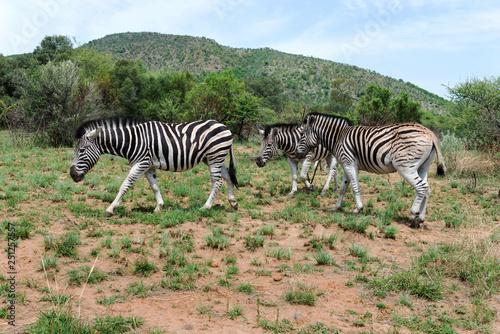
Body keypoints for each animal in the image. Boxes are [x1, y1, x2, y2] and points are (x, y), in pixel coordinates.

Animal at [70, 117, 238, 217]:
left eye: (82, 150)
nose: (72, 175)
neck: (133, 140)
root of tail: (223, 126)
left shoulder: (141, 163)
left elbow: (125, 185)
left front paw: (110, 208)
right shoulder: (148, 166)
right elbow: (155, 186)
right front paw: (159, 206)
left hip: (215, 156)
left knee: (217, 181)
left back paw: (206, 207)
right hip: (211, 158)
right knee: (228, 175)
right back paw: (233, 202)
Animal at [292, 113, 446, 227]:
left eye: (302, 135)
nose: (297, 154)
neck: (337, 137)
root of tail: (429, 132)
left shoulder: (349, 162)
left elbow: (355, 187)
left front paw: (358, 208)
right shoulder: (347, 164)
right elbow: (343, 188)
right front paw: (336, 207)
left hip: (405, 166)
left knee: (421, 187)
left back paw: (414, 214)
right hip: (422, 167)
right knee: (427, 189)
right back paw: (421, 217)